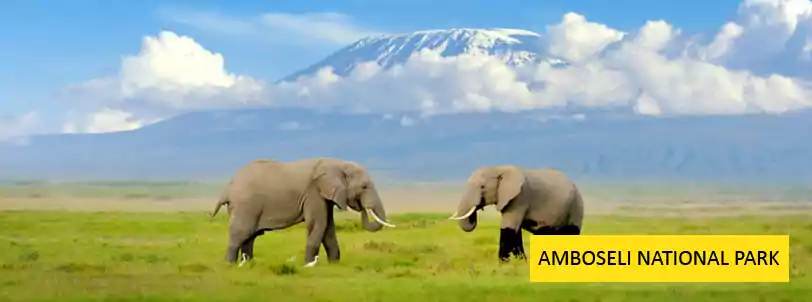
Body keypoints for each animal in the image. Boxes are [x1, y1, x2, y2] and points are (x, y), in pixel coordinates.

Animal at [208, 158, 394, 266]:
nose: (362, 207)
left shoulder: (324, 196)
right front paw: (309, 264)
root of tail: (228, 187)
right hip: (245, 206)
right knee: (241, 233)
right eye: (364, 187)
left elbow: (328, 228)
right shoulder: (313, 193)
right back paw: (230, 265)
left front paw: (334, 264)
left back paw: (249, 263)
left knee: (250, 237)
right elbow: (318, 224)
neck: (336, 163)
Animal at [444, 165, 584, 262]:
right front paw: (520, 262)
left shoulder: (520, 197)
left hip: (576, 206)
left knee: (570, 232)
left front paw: (503, 264)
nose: (476, 210)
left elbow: (508, 229)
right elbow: (515, 232)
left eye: (483, 187)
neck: (500, 168)